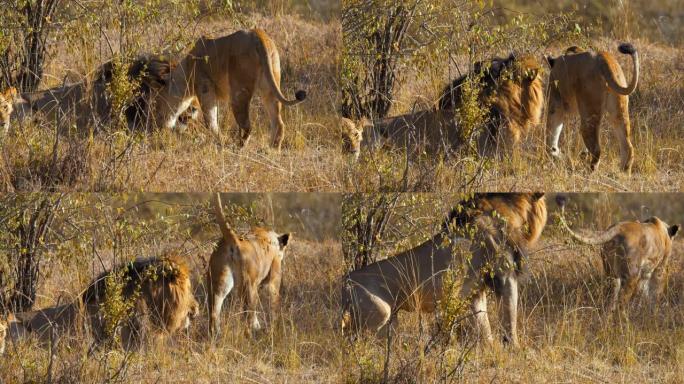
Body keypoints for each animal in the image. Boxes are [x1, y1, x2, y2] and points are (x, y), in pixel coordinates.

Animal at [155, 28, 308, 148]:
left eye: (159, 102)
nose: (159, 123)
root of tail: (257, 35)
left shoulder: (206, 88)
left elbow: (210, 120)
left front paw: (218, 140)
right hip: (270, 87)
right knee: (278, 123)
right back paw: (272, 150)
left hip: (238, 91)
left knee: (247, 126)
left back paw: (237, 148)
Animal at [344, 194, 548, 346]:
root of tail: (344, 284)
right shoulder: (505, 276)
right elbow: (509, 318)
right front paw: (514, 350)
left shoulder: (475, 291)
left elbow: (483, 325)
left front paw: (491, 350)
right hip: (380, 313)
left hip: (390, 321)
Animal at [544, 43, 640, 172]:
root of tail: (604, 58)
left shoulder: (555, 102)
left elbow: (552, 132)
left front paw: (555, 153)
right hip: (619, 111)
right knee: (628, 147)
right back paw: (623, 173)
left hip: (589, 111)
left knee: (596, 149)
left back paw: (589, 171)